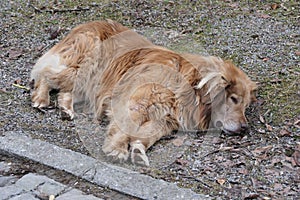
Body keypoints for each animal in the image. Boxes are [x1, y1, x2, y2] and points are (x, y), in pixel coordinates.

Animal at [30, 19, 256, 166]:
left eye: (245, 105)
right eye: (233, 99)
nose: (245, 127)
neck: (190, 86)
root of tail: (87, 24)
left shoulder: (164, 120)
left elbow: (147, 136)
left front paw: (138, 150)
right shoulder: (135, 104)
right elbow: (126, 128)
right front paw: (118, 149)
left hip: (91, 84)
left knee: (65, 92)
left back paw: (66, 109)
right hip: (83, 70)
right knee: (46, 74)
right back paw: (41, 98)